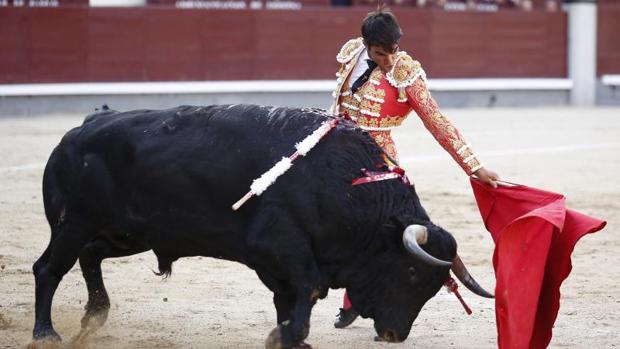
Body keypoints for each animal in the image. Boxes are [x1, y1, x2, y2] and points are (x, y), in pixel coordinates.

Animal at [31, 104, 492, 348]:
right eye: (411, 272)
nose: (396, 334)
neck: (345, 186)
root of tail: (82, 128)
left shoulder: (282, 263)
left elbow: (290, 298)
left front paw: (291, 336)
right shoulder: (278, 246)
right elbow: (309, 289)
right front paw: (286, 336)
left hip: (129, 234)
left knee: (90, 257)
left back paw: (95, 316)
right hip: (72, 225)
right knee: (48, 269)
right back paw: (46, 333)